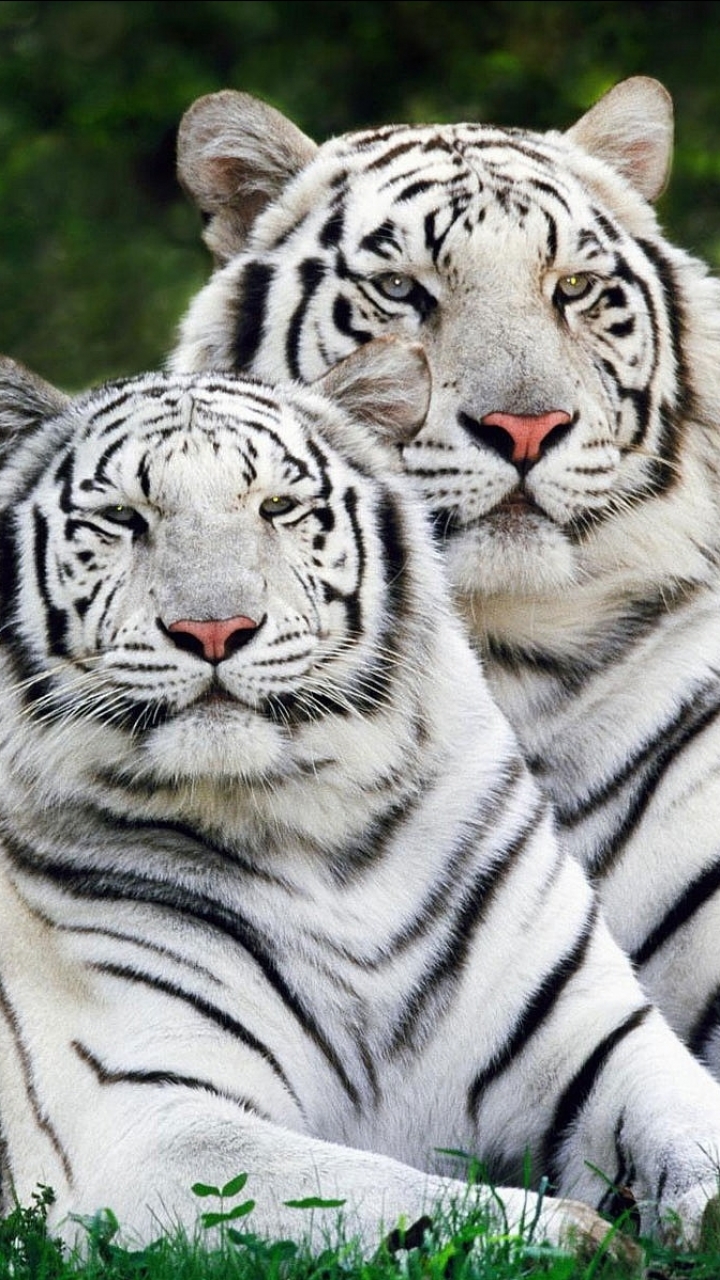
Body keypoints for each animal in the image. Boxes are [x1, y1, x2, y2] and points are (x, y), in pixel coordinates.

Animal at [3, 339, 720, 1255]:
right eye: (126, 518)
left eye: (277, 507)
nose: (213, 631)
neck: (317, 831)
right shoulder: (141, 1126)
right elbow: (383, 1197)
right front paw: (585, 1237)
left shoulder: (598, 1036)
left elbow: (690, 1124)